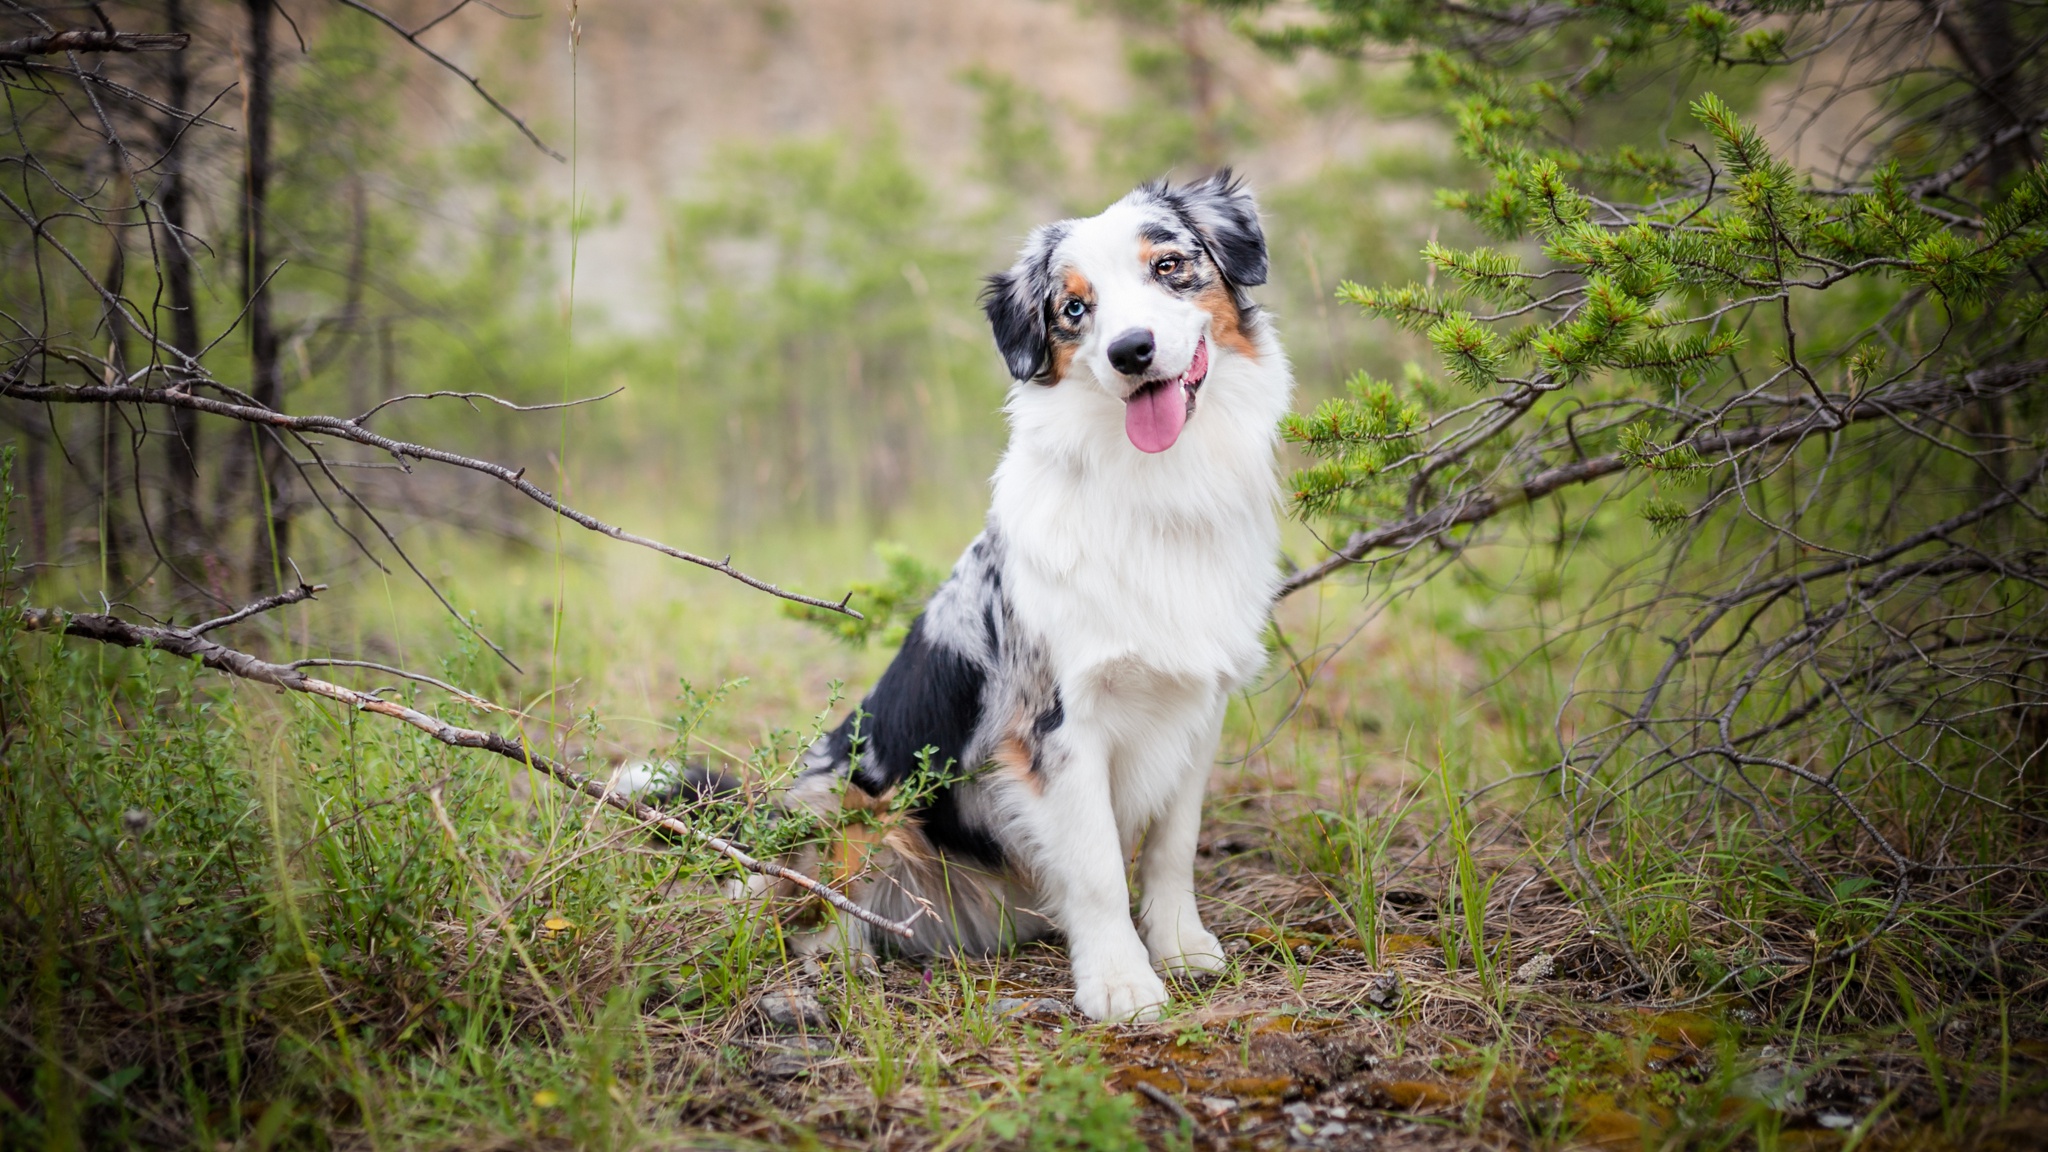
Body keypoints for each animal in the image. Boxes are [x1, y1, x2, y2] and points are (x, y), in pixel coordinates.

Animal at [663, 172, 1286, 1020]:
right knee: (797, 900)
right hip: (848, 802)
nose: (1130, 352)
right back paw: (835, 963)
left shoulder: (1196, 705)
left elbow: (1171, 849)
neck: (1153, 488)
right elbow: (1099, 869)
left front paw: (1182, 948)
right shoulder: (1054, 726)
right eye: (1074, 309)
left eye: (1169, 267)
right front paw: (1120, 983)